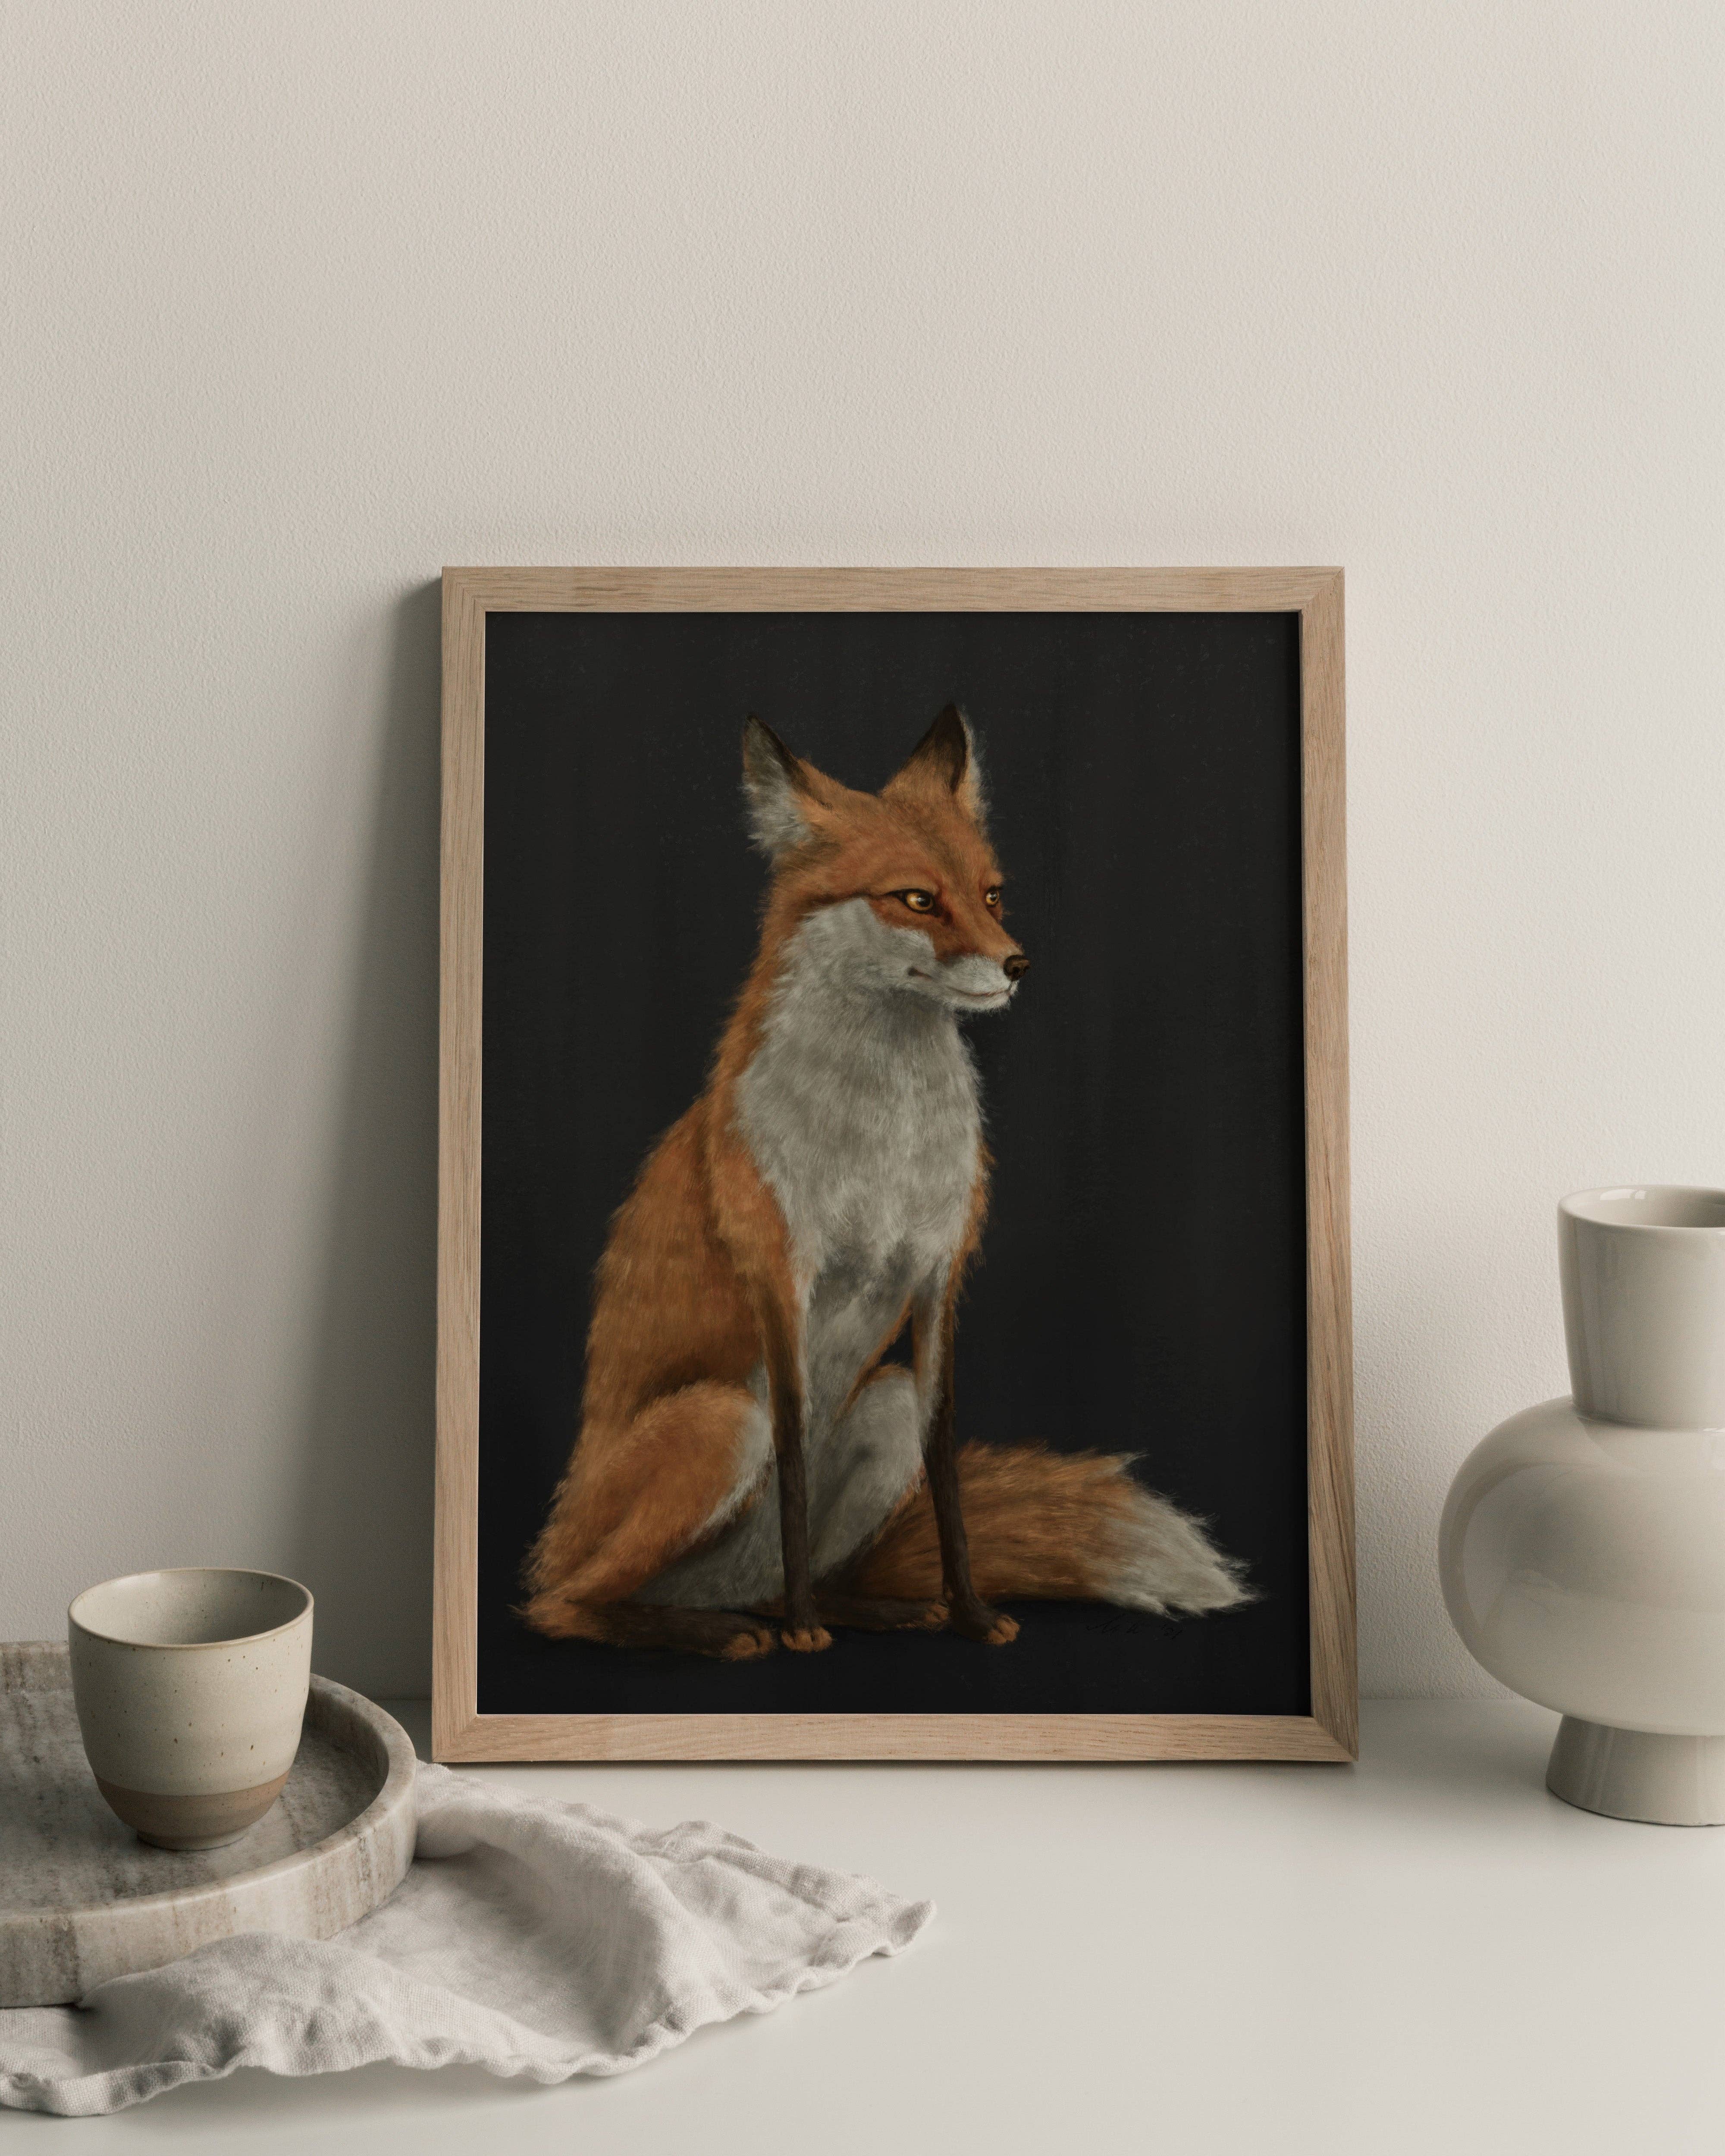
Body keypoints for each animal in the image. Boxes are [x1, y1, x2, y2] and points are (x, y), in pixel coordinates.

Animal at [521, 704, 1249, 1658]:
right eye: (916, 899)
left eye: (991, 894)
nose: (1017, 964)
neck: (885, 1143)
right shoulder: (781, 1278)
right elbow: (793, 1463)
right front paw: (805, 1633)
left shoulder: (939, 1277)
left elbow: (945, 1475)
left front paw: (969, 1613)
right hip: (720, 1422)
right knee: (563, 1605)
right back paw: (725, 1630)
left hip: (882, 1405)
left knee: (771, 1577)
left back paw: (860, 1609)